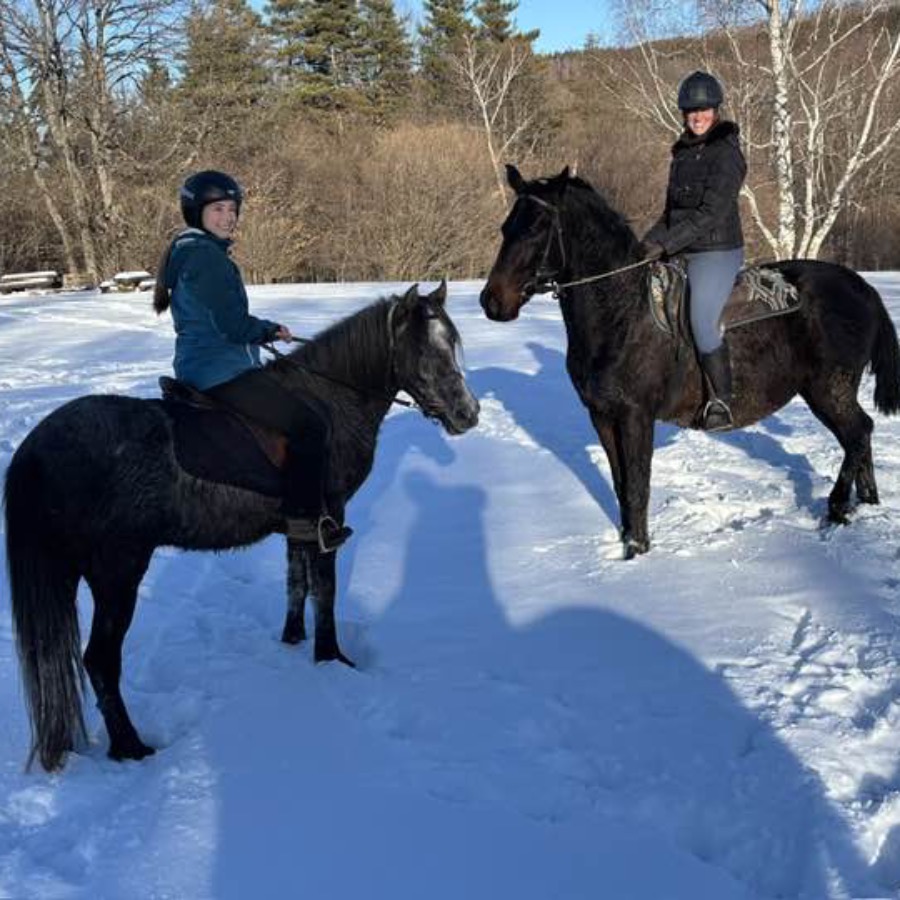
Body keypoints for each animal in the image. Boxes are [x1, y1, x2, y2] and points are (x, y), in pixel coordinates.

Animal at [5, 284, 478, 772]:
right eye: (426, 350)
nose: (469, 413)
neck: (330, 399)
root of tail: (38, 447)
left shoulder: (299, 523)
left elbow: (297, 584)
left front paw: (293, 640)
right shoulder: (329, 517)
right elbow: (324, 591)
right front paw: (330, 658)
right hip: (117, 572)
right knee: (100, 660)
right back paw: (131, 748)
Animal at [482, 162, 900, 556]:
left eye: (538, 228)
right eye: (506, 227)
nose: (492, 302)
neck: (624, 311)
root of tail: (862, 288)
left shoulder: (635, 416)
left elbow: (637, 485)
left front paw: (637, 552)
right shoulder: (601, 415)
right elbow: (620, 483)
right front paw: (626, 543)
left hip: (828, 390)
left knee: (858, 433)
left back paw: (838, 507)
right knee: (859, 437)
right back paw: (865, 503)